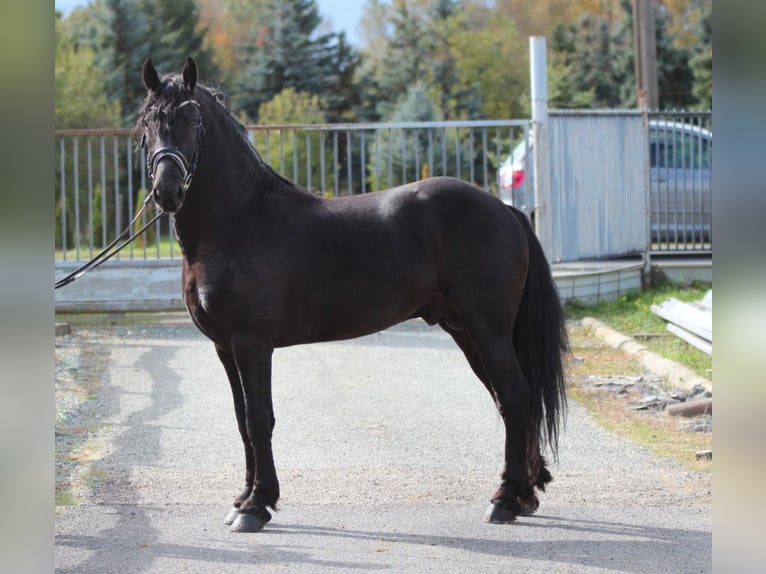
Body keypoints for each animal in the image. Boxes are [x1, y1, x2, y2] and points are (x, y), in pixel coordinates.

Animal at [140, 58, 568, 536]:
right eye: (146, 123)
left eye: (193, 120)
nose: (167, 191)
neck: (239, 222)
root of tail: (505, 209)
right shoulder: (224, 347)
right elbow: (241, 420)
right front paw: (243, 499)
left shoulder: (252, 345)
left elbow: (258, 418)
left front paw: (257, 505)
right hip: (467, 331)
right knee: (512, 400)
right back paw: (526, 492)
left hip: (487, 329)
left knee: (514, 396)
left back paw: (506, 500)